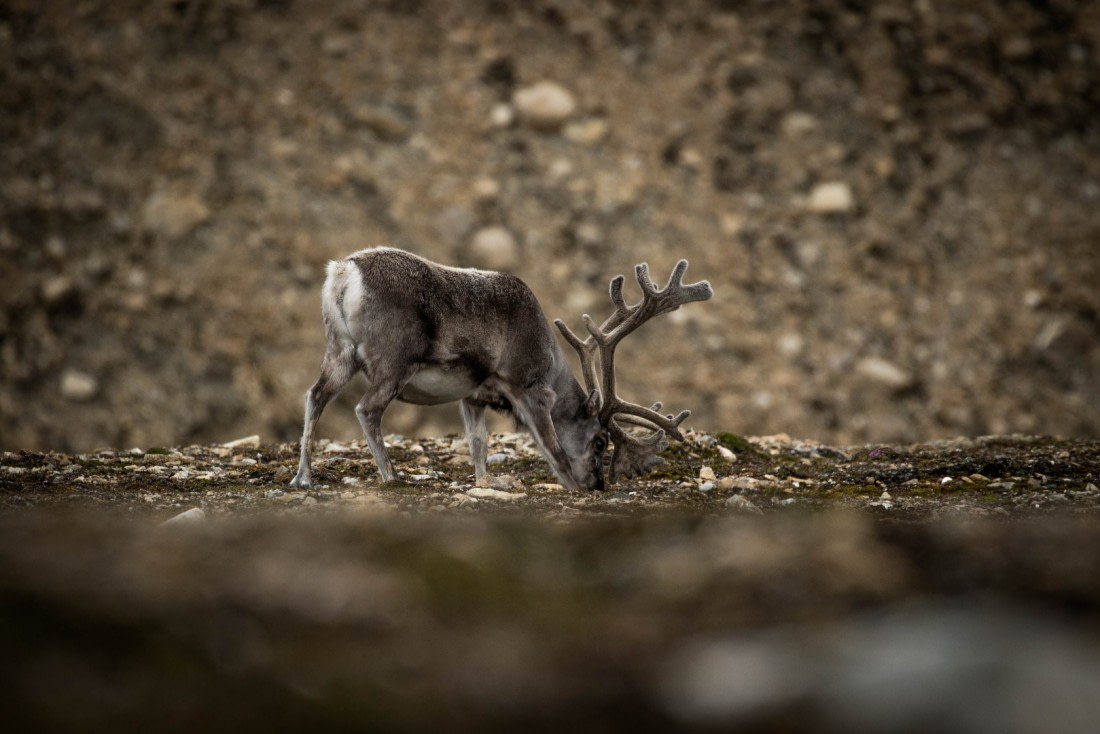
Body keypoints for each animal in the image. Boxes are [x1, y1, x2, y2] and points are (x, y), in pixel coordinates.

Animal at [289, 246, 712, 492]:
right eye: (600, 442)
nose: (597, 487)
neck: (551, 361)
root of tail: (343, 273)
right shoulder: (528, 387)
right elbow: (553, 449)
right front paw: (571, 487)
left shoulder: (472, 395)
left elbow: (478, 445)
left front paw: (485, 483)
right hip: (393, 361)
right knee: (367, 409)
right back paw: (391, 477)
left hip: (339, 351)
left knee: (314, 396)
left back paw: (303, 476)